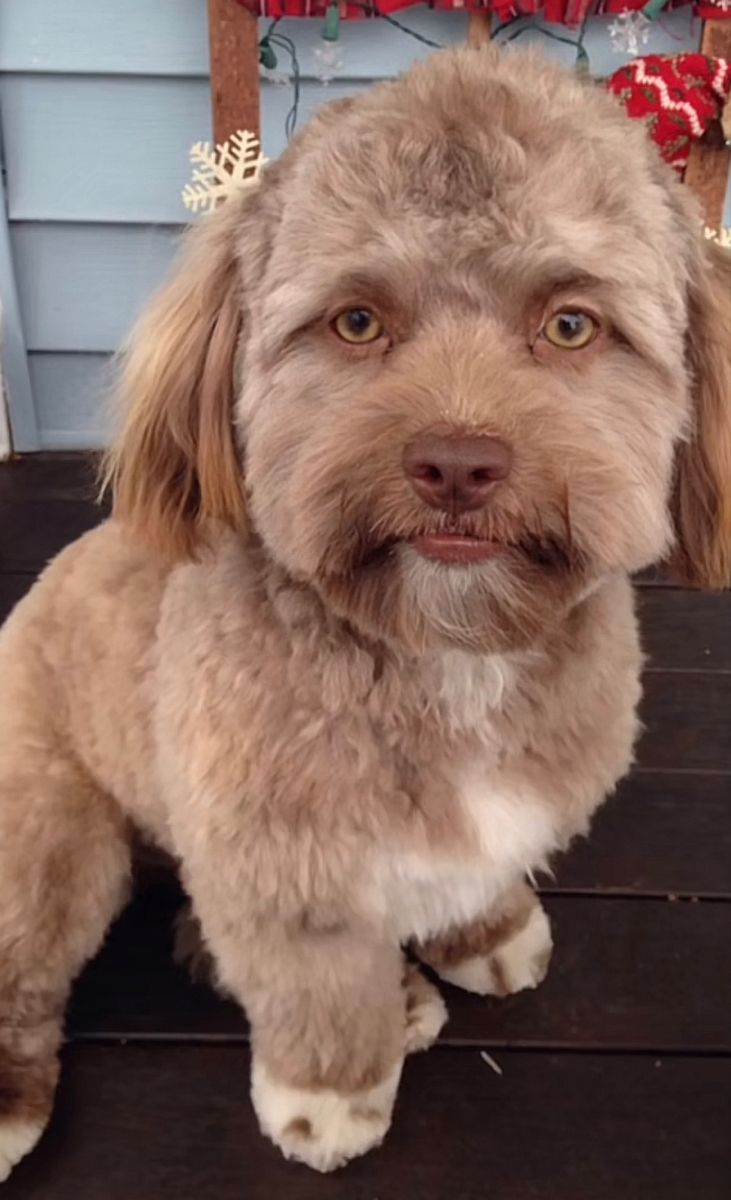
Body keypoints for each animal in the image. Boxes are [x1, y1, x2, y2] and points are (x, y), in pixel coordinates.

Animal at [1, 46, 729, 1180]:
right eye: (355, 323)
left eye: (569, 325)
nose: (457, 464)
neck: (443, 653)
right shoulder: (282, 879)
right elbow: (315, 997)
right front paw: (329, 1099)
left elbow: (473, 879)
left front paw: (484, 935)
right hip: (50, 833)